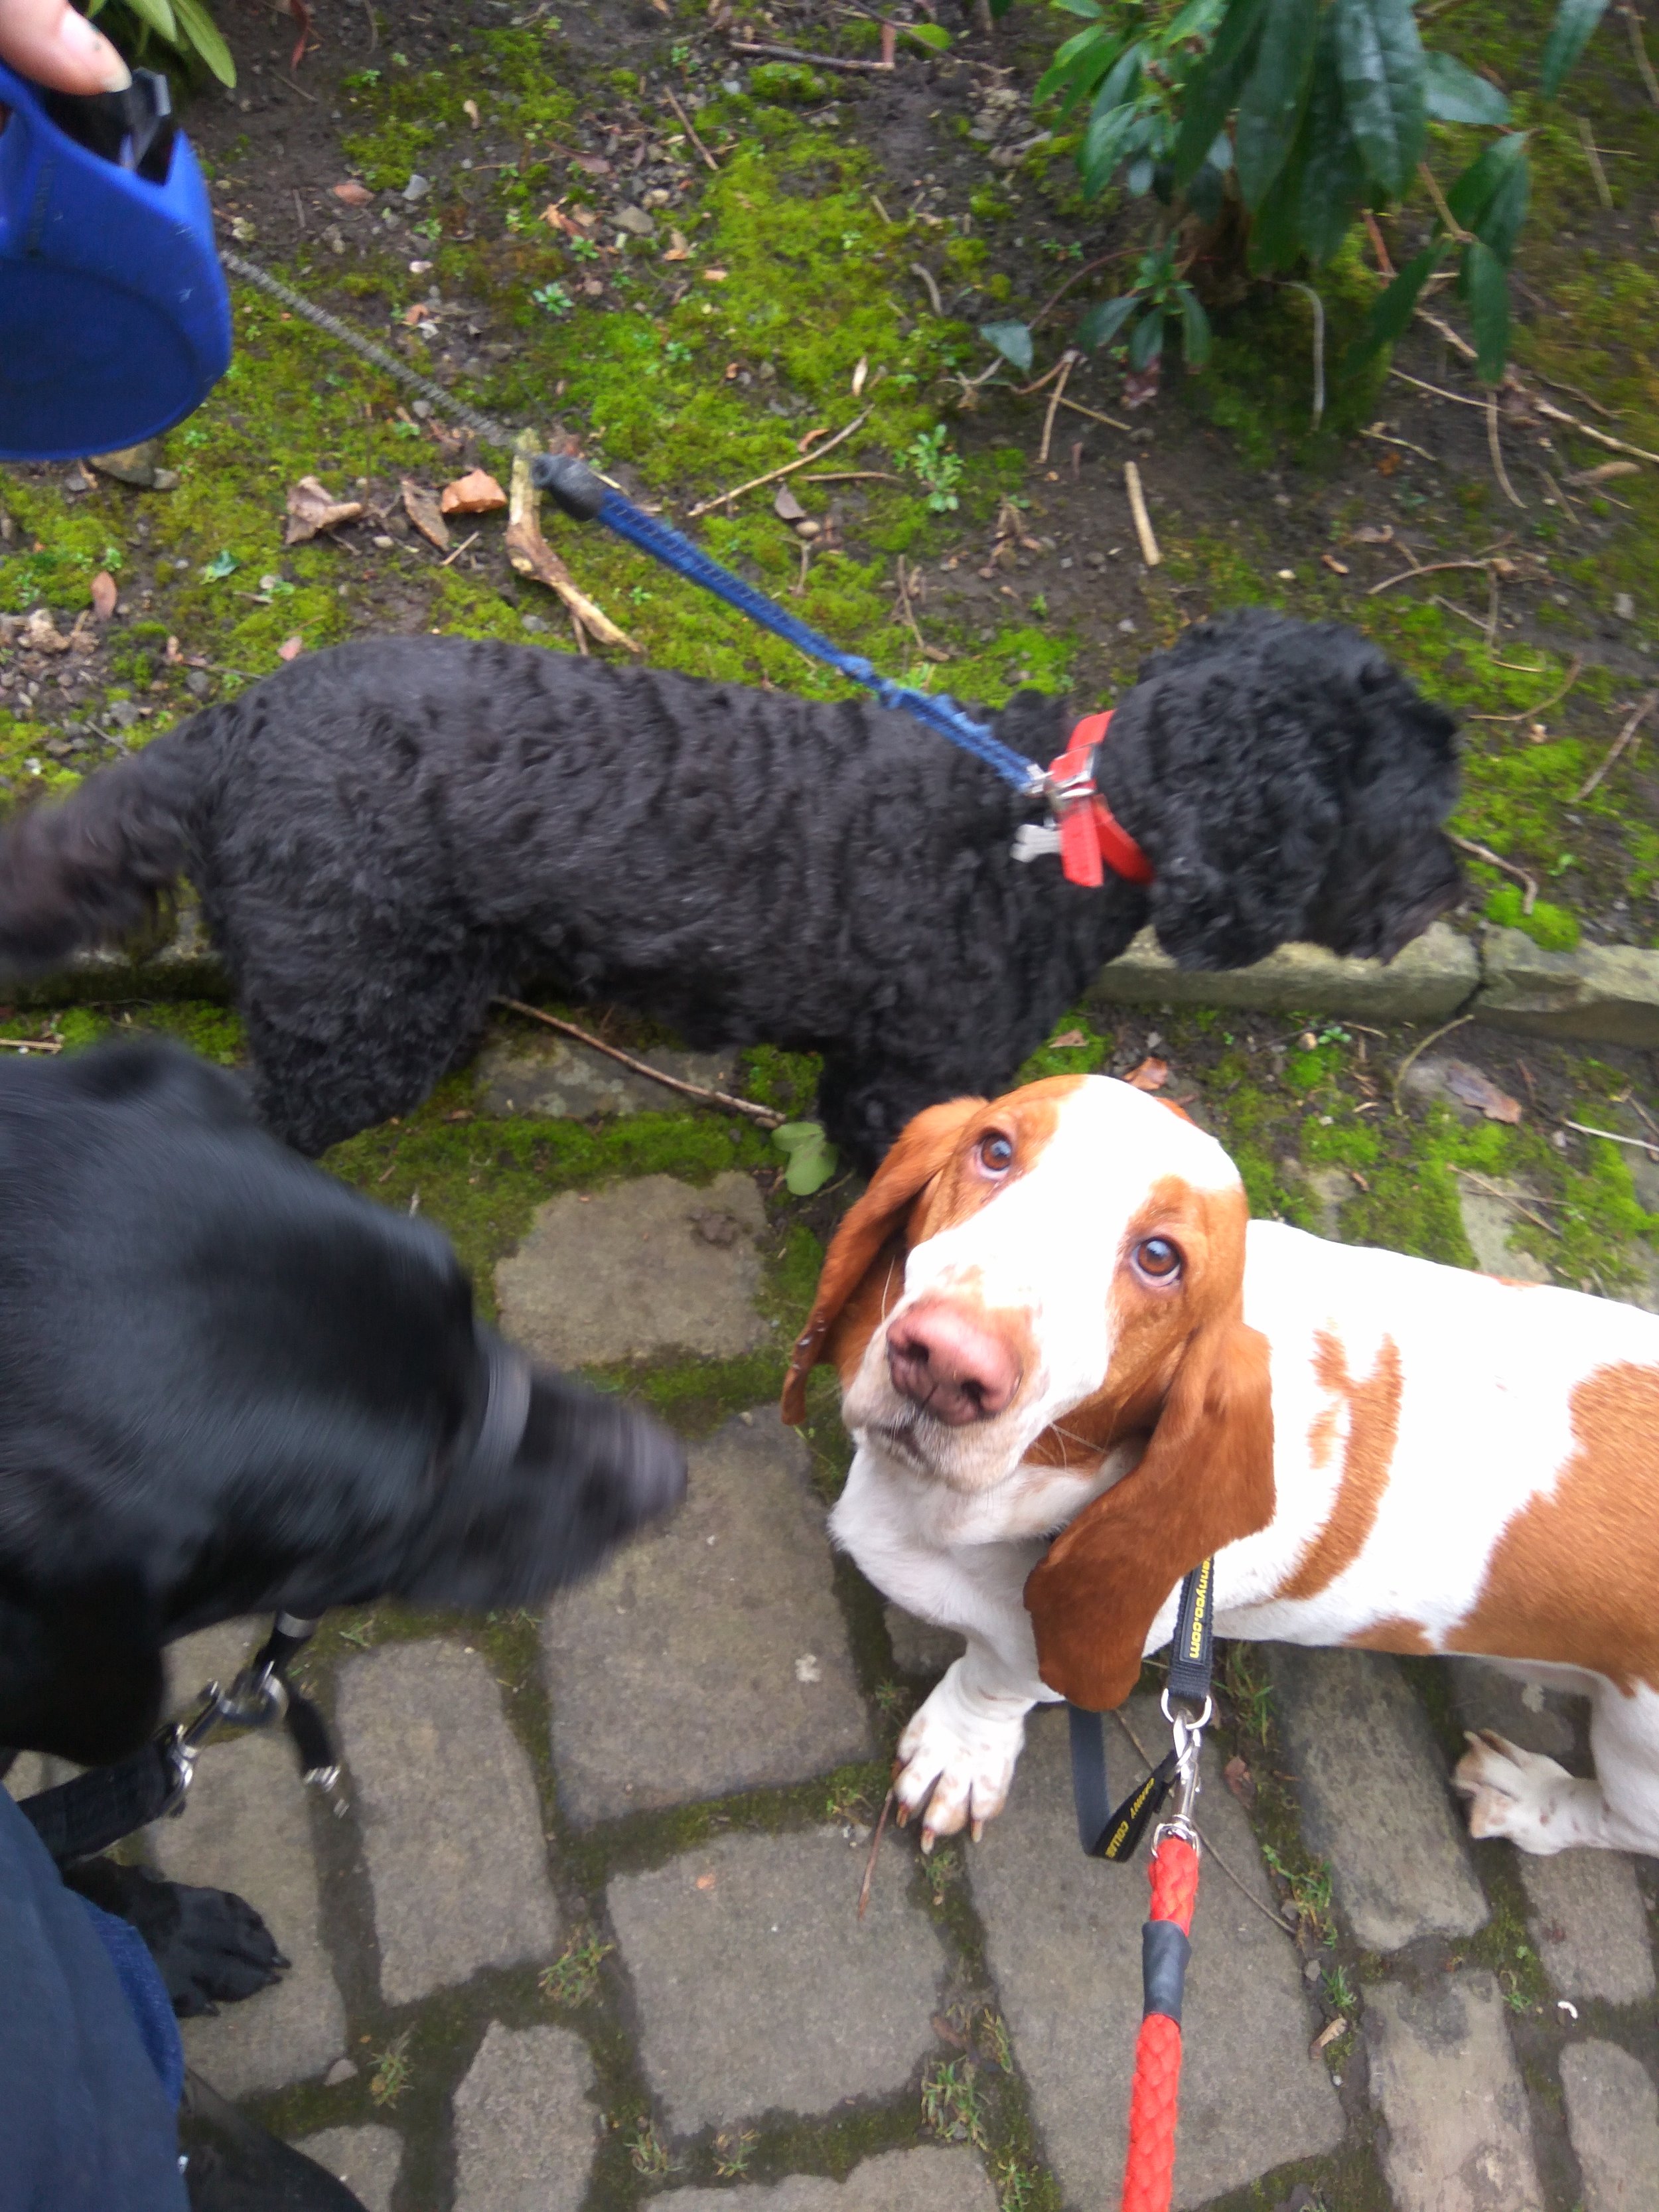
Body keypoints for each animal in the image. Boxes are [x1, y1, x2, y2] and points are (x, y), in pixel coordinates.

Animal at [0, 606, 1460, 1159]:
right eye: (1413, 811)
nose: (1451, 888)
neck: (1057, 823)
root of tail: (232, 726)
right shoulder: (903, 1081)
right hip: (349, 1012)